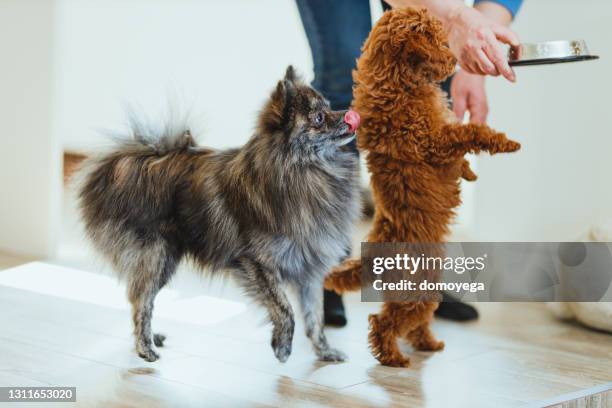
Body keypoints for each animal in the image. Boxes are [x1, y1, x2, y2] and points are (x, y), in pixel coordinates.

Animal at [77, 67, 364, 364]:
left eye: (329, 107)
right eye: (319, 117)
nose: (350, 114)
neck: (307, 171)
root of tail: (132, 161)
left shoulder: (309, 270)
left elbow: (314, 318)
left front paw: (325, 351)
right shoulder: (257, 263)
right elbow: (286, 309)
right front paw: (283, 346)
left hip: (163, 259)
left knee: (141, 298)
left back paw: (150, 339)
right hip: (156, 256)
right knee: (141, 301)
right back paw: (145, 347)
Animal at [322, 7, 520, 368]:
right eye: (437, 42)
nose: (455, 59)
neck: (400, 83)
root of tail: (377, 246)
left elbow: (462, 155)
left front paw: (470, 174)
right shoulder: (433, 143)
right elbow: (470, 132)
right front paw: (506, 143)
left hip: (422, 288)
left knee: (412, 321)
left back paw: (428, 343)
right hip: (416, 290)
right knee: (383, 322)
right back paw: (394, 358)